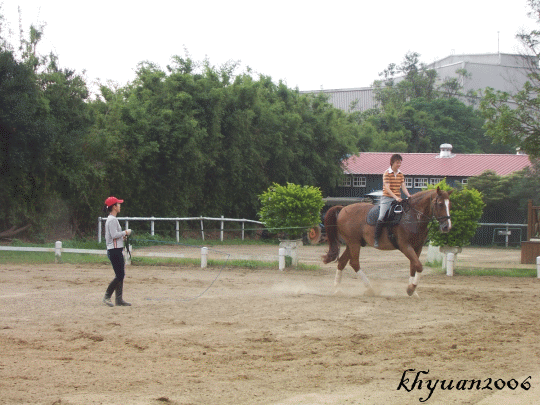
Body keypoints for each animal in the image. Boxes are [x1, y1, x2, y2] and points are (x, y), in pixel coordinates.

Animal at [322, 188, 454, 296]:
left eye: (449, 205)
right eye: (440, 204)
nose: (447, 227)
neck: (413, 217)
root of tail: (343, 208)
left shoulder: (418, 247)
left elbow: (413, 266)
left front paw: (412, 290)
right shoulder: (405, 246)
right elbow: (419, 266)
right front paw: (411, 289)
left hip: (353, 243)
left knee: (342, 262)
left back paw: (337, 289)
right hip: (354, 243)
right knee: (354, 263)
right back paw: (370, 289)